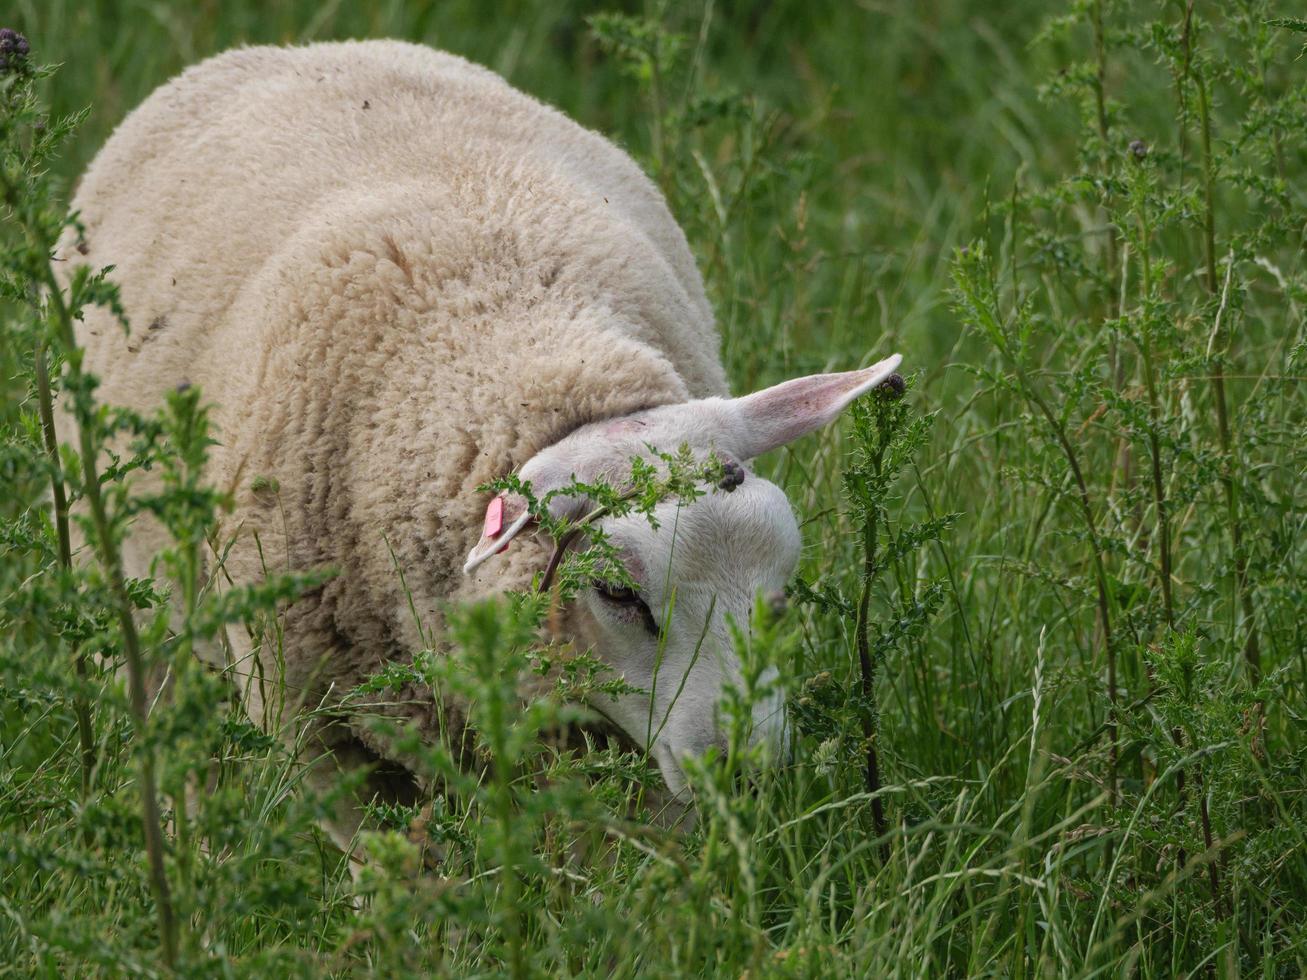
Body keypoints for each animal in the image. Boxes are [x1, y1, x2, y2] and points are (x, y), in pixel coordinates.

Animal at [61, 42, 899, 846]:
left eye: (779, 598)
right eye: (617, 594)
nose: (745, 775)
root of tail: (284, 48)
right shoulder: (317, 730)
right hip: (127, 597)